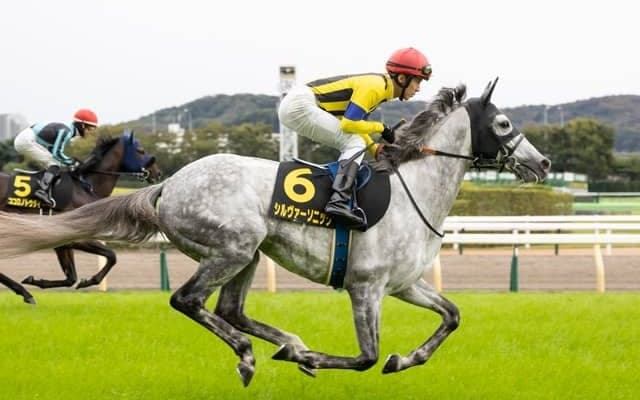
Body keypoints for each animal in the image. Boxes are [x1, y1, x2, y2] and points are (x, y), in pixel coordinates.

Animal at [0, 130, 160, 304]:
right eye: (140, 151)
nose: (157, 172)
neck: (85, 187)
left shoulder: (62, 241)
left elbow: (71, 277)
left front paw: (35, 281)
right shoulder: (72, 235)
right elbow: (112, 256)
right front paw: (89, 281)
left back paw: (24, 292)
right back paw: (24, 292)